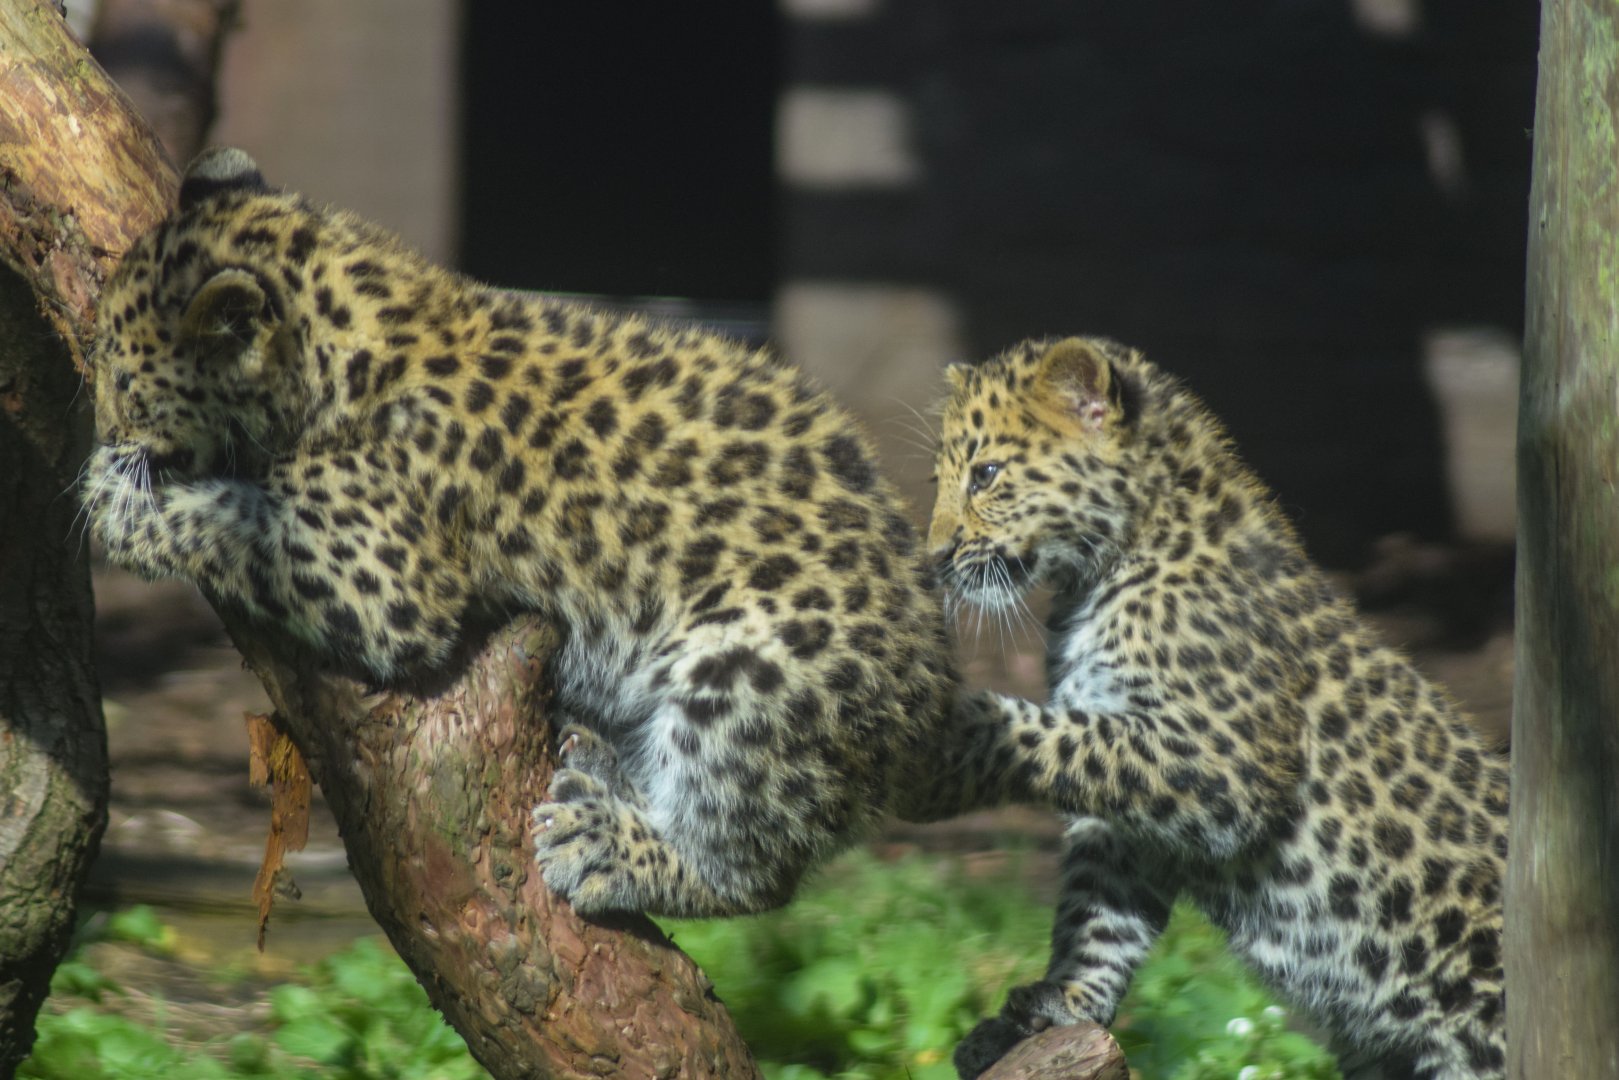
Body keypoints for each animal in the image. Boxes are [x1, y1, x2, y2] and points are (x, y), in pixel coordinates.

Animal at [84, 147, 1024, 921]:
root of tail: (934, 696)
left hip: (757, 672)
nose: (98, 424)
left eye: (121, 382)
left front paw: (110, 498)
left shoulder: (378, 570)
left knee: (752, 874)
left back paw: (610, 845)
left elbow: (227, 510)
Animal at [928, 337, 1507, 1080]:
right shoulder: (1131, 815)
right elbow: (1098, 915)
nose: (935, 557)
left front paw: (962, 727)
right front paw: (1058, 1004)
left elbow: (1056, 738)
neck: (1102, 575)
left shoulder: (1222, 765)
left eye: (987, 474)